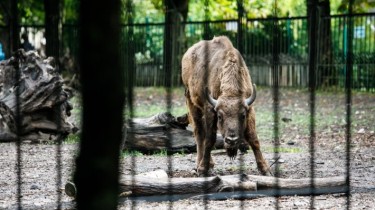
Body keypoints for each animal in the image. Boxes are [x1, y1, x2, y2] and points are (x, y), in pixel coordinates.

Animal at [181, 35, 270, 176]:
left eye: (242, 116)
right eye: (220, 116)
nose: (231, 140)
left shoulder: (250, 109)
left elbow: (253, 138)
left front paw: (265, 169)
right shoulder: (210, 109)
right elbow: (209, 139)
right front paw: (203, 169)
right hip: (191, 101)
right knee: (199, 132)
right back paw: (201, 164)